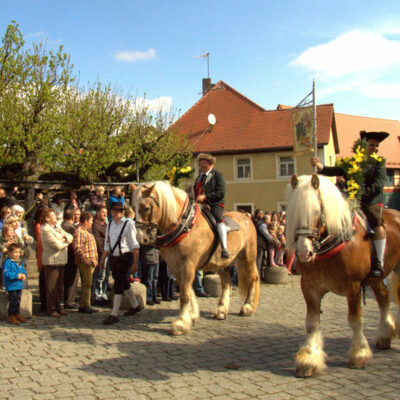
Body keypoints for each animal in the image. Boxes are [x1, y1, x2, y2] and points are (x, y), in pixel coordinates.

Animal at [130, 181, 258, 334]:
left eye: (146, 208)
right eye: (133, 208)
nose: (140, 238)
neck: (185, 225)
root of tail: (246, 216)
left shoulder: (188, 264)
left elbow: (185, 293)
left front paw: (181, 323)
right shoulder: (175, 266)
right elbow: (188, 290)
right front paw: (192, 315)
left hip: (247, 257)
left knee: (253, 278)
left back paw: (248, 307)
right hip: (222, 263)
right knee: (226, 283)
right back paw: (221, 310)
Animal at [284, 175, 400, 378]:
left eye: (317, 211)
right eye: (294, 212)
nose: (304, 252)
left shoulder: (353, 286)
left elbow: (355, 319)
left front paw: (359, 354)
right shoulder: (309, 287)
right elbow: (312, 322)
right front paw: (309, 359)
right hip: (376, 279)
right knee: (383, 298)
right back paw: (385, 335)